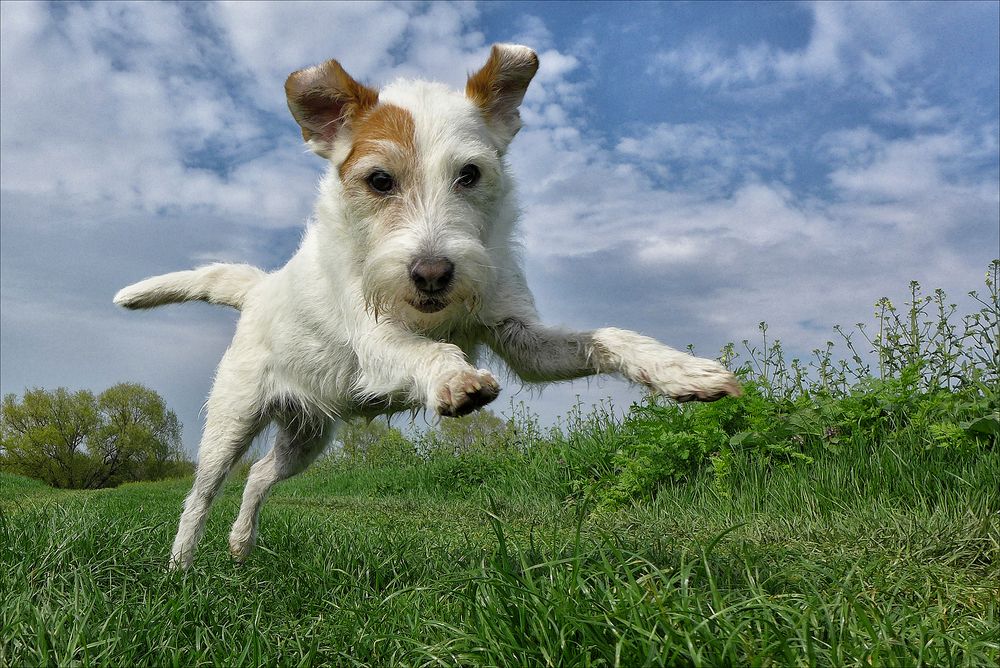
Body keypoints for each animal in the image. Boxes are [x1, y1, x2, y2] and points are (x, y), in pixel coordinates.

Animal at [115, 45, 744, 568]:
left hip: (306, 433)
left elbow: (608, 338)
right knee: (203, 493)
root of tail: (260, 289)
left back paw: (241, 544)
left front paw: (682, 371)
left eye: (470, 174)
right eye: (379, 180)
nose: (432, 273)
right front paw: (454, 379)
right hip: (233, 420)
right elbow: (430, 352)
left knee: (260, 476)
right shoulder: (377, 339)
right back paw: (181, 565)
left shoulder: (521, 336)